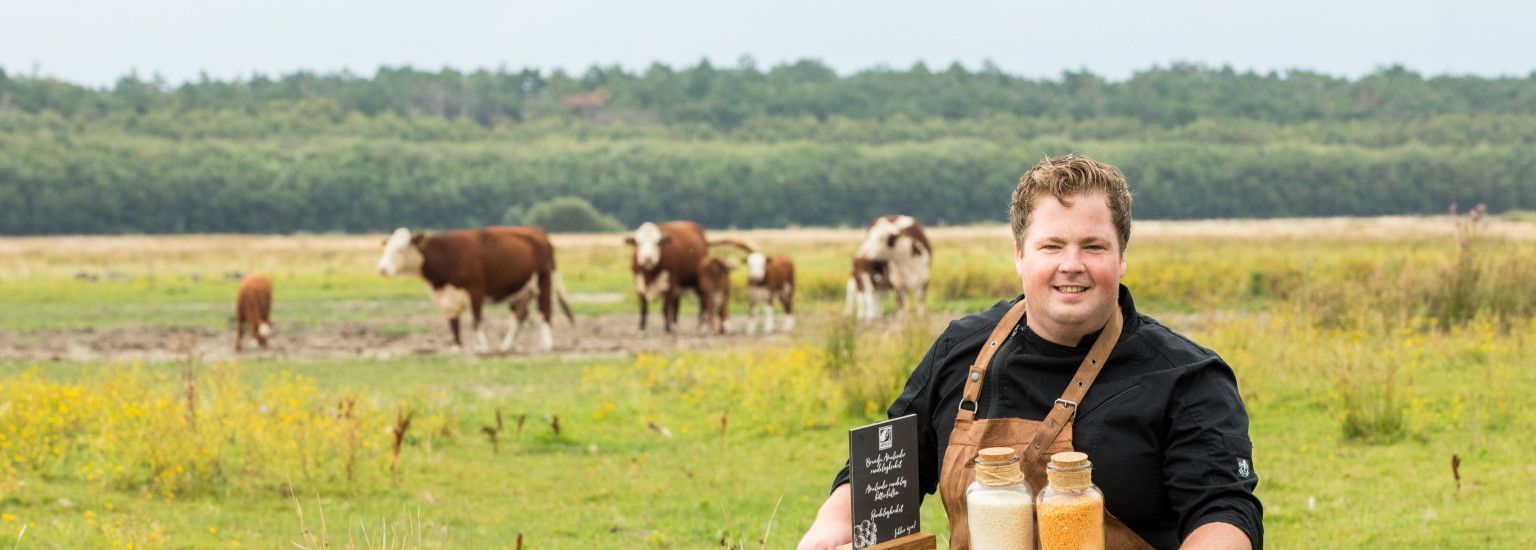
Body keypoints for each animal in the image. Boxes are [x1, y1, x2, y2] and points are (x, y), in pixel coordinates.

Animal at [377, 227, 577, 351]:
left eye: (401, 249)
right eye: (386, 248)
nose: (382, 269)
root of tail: (538, 233)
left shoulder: (475, 292)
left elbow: (476, 320)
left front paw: (482, 347)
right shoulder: (447, 298)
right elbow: (453, 322)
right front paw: (456, 347)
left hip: (543, 282)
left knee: (545, 311)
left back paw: (547, 344)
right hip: (521, 291)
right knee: (519, 316)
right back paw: (506, 346)